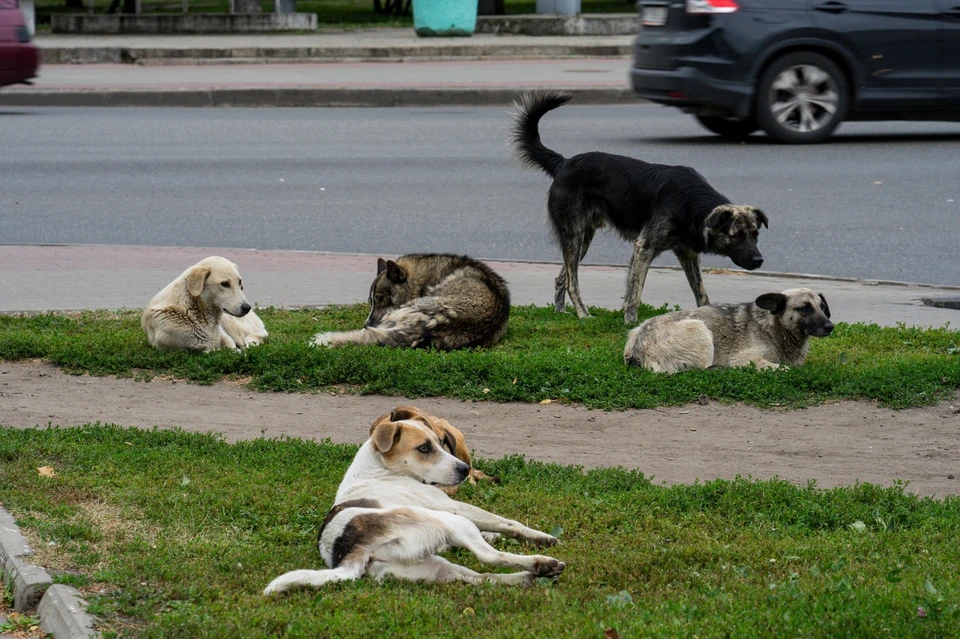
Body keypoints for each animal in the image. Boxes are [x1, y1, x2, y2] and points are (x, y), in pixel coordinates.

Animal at [262, 410, 564, 596]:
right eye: (424, 448)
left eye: (442, 442)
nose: (465, 469)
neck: (380, 468)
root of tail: (350, 550)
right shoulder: (452, 506)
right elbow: (507, 523)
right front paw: (539, 536)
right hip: (451, 522)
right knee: (489, 557)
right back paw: (540, 562)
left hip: (432, 567)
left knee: (480, 578)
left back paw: (529, 576)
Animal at [624, 288, 832, 372]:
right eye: (804, 308)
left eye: (822, 307)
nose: (830, 327)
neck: (775, 328)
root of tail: (637, 350)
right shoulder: (746, 358)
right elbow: (782, 368)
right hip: (699, 327)